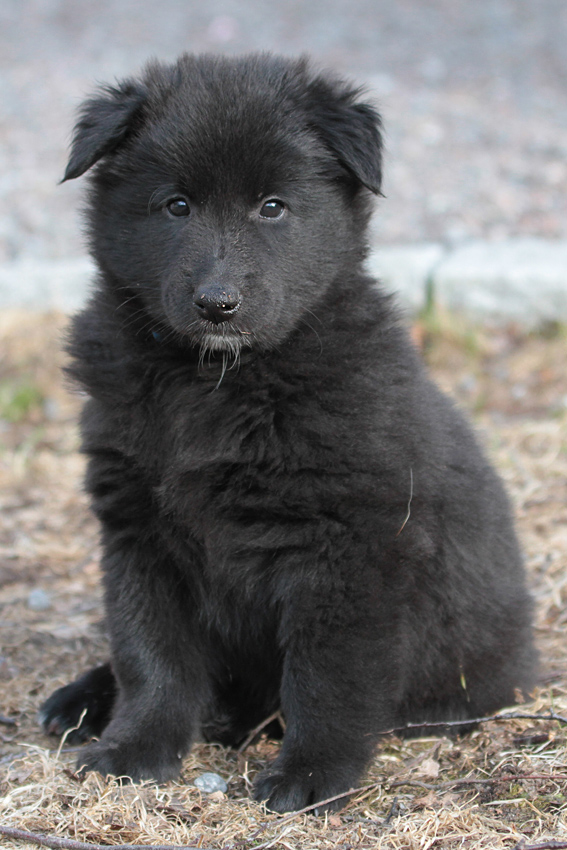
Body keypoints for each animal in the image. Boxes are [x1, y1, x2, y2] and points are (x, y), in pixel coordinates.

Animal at [40, 53, 536, 808]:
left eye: (272, 207)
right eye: (176, 206)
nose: (217, 303)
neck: (215, 380)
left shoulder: (352, 546)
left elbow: (327, 673)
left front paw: (311, 774)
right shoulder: (137, 532)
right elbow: (149, 655)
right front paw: (136, 748)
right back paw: (82, 699)